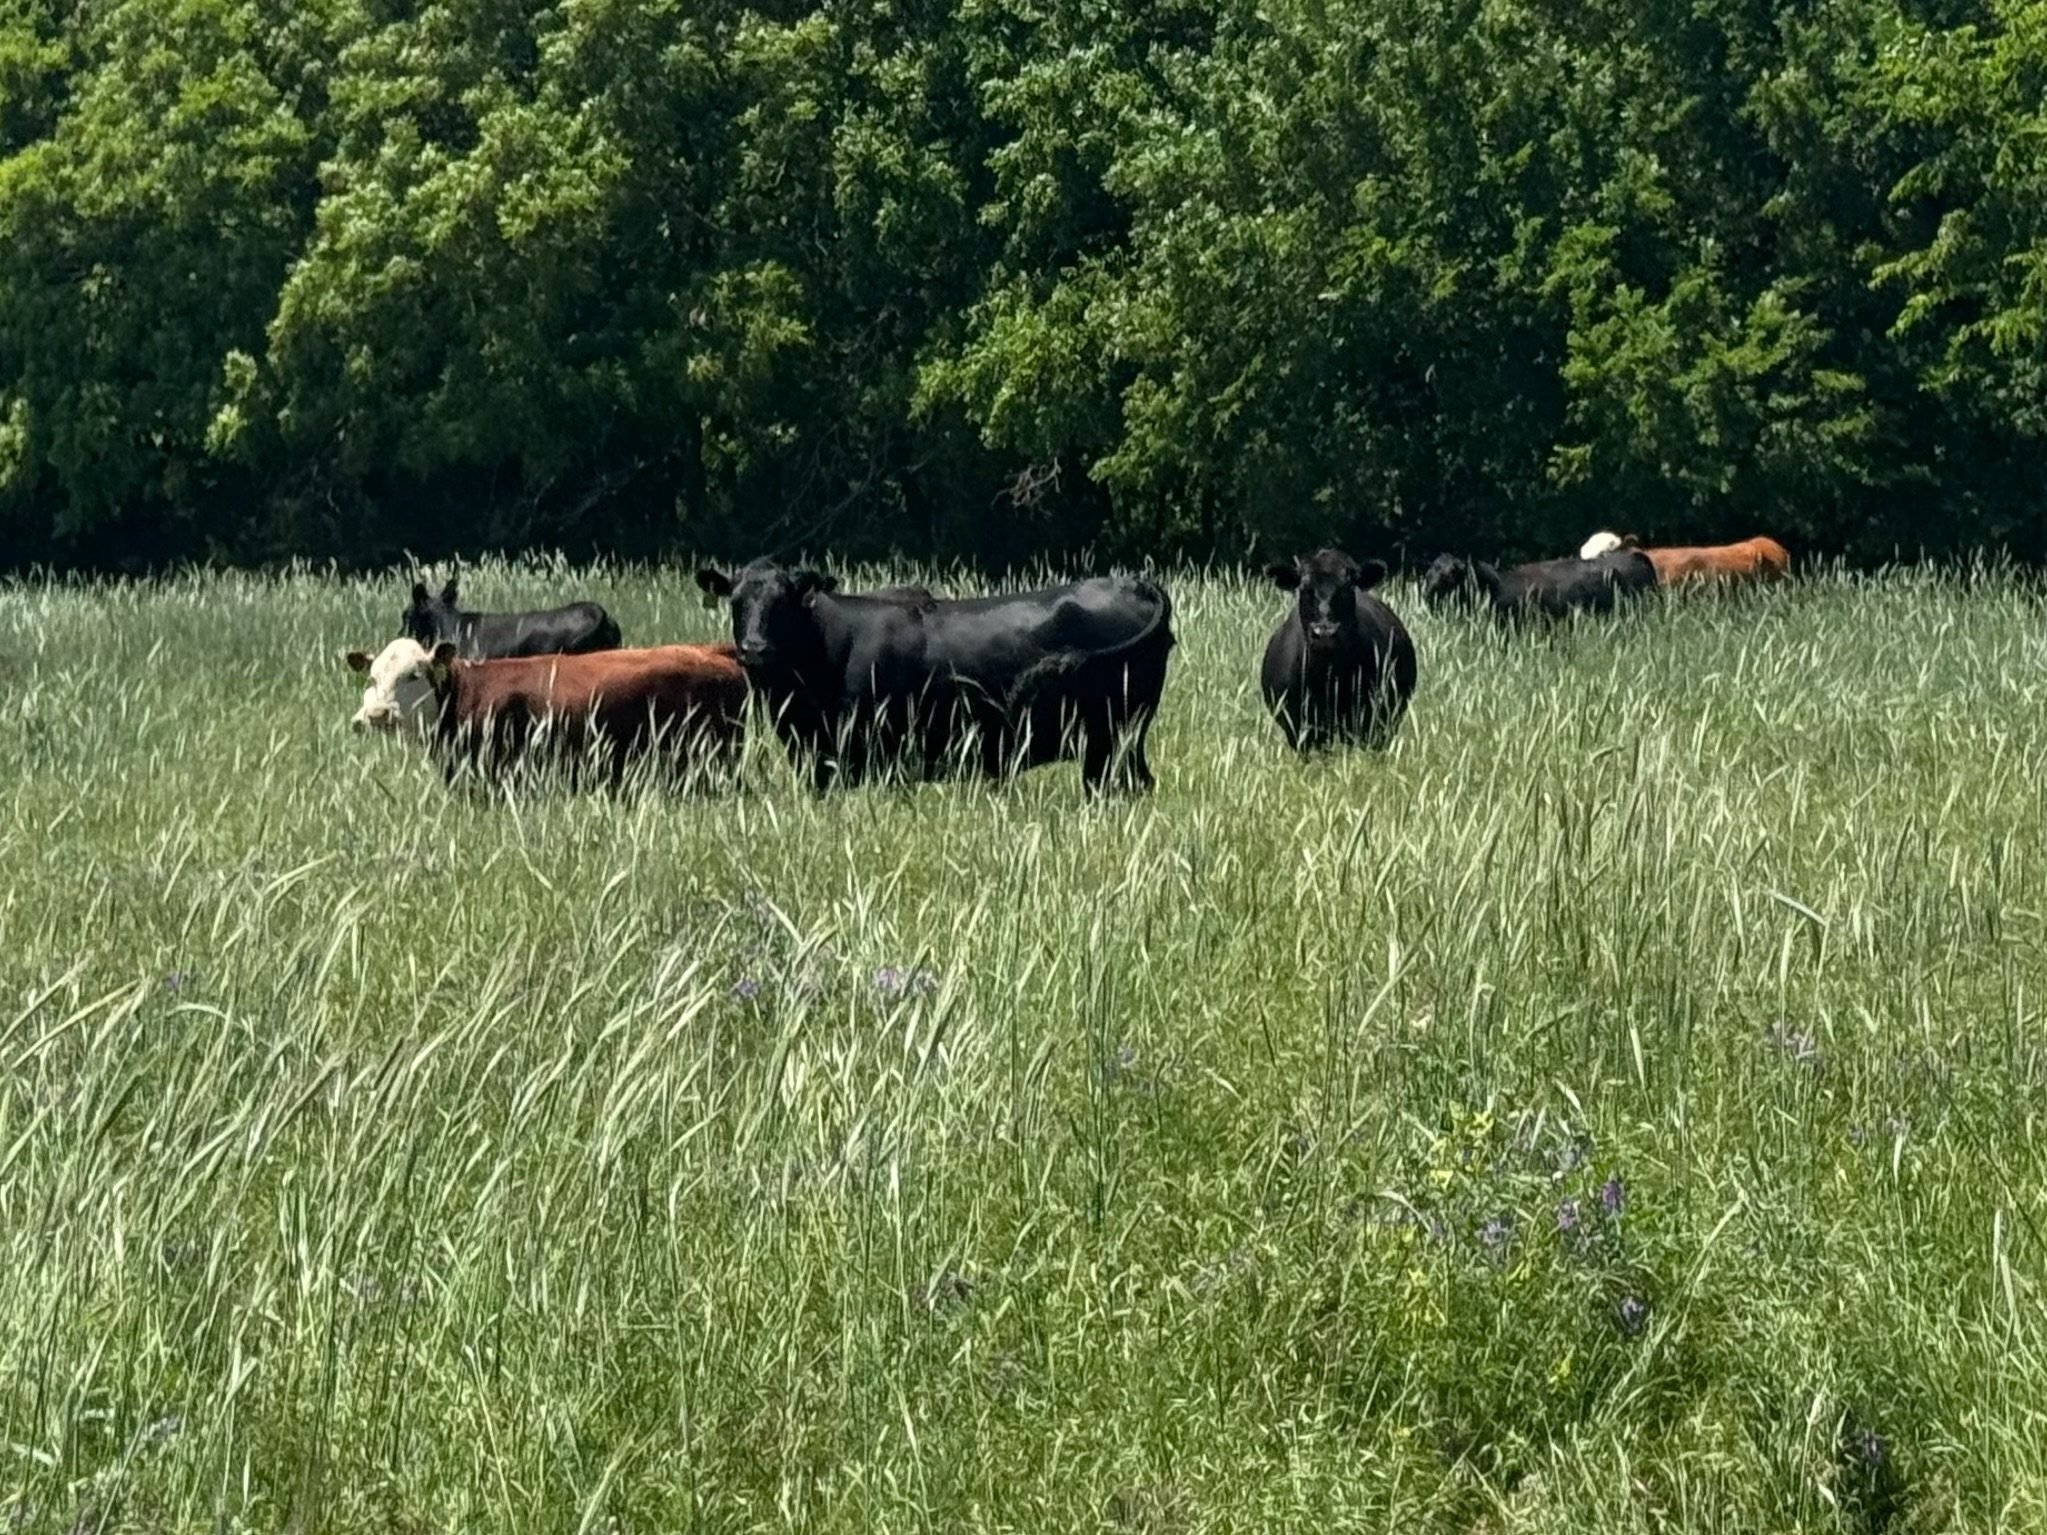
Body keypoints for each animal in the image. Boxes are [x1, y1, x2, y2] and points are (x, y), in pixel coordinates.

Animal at [693, 559, 1174, 793]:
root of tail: (1133, 583)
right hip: (1120, 741)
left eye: (784, 602)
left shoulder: (865, 756)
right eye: (736, 601)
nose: (754, 649)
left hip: (1110, 742)